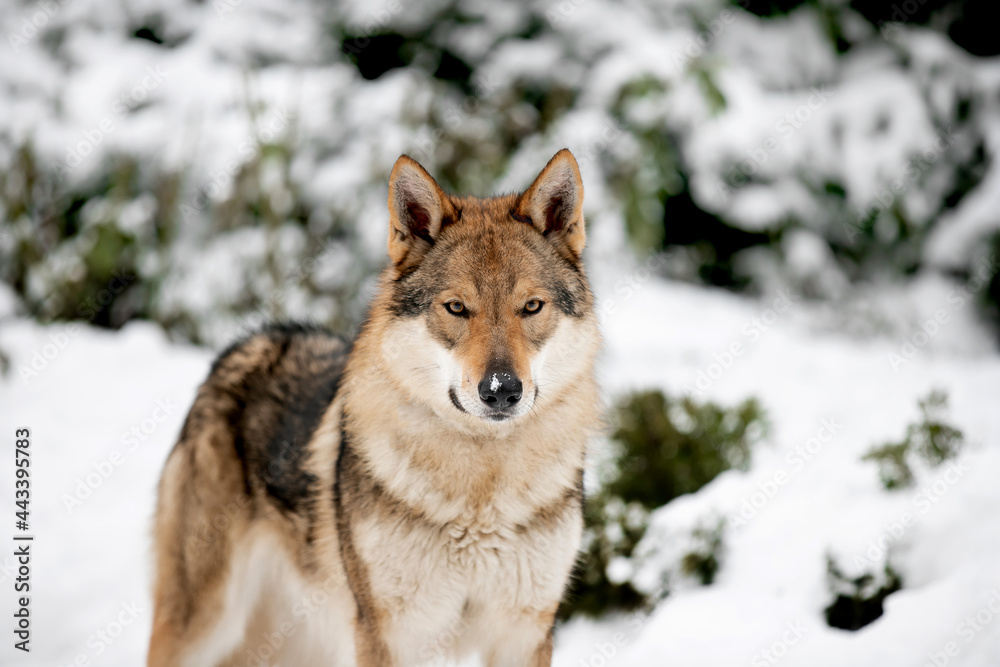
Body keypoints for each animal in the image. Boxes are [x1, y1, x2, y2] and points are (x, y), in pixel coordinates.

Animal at [148, 149, 600, 664]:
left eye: (531, 306)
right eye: (457, 308)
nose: (502, 389)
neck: (481, 492)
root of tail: (245, 345)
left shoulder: (522, 635)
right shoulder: (389, 635)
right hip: (201, 625)